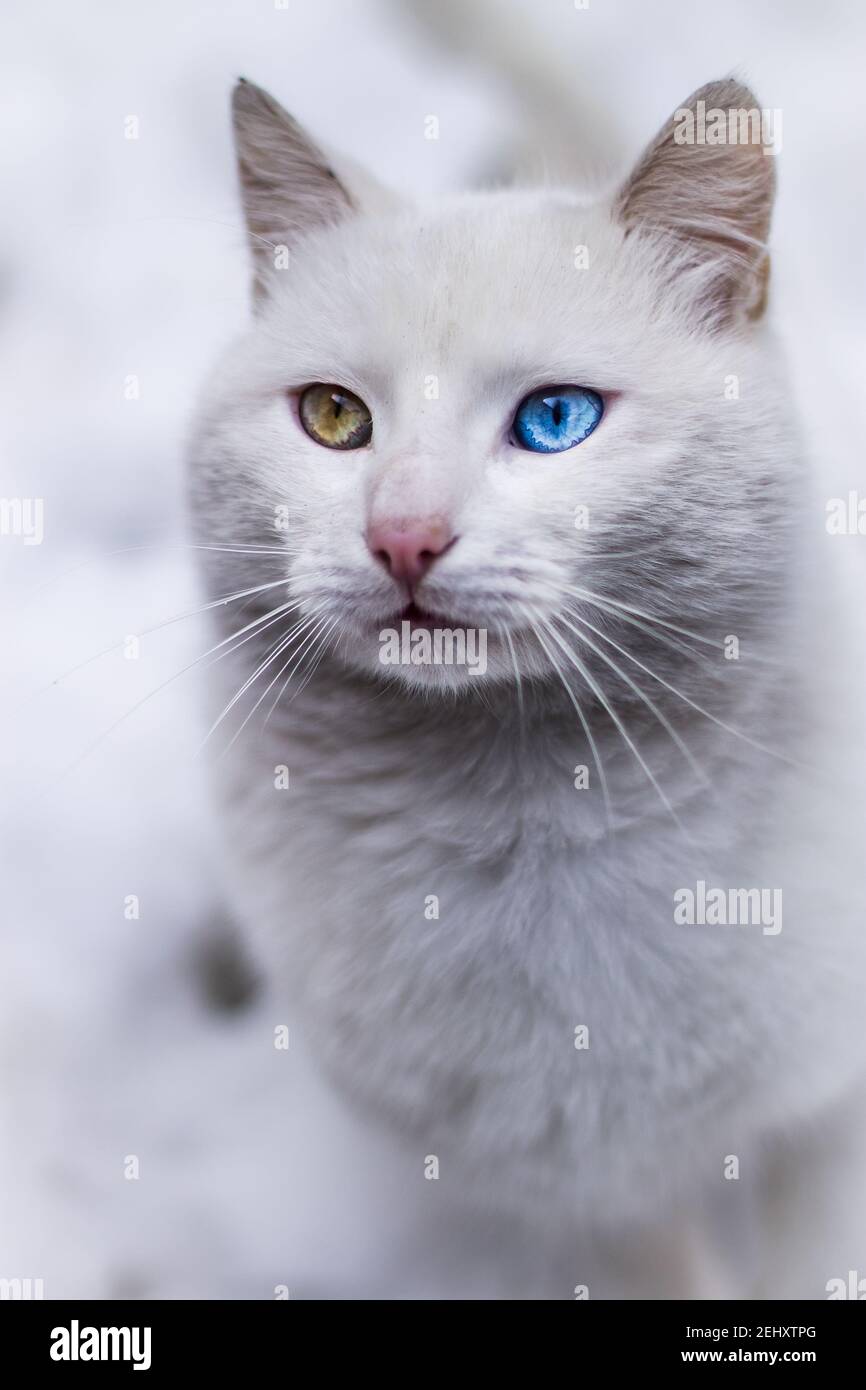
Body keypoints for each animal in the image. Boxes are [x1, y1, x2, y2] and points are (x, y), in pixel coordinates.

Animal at [187, 73, 866, 1289]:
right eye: (333, 417)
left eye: (555, 419)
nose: (402, 536)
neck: (520, 813)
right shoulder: (574, 1190)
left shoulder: (827, 1123)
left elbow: (815, 1263)